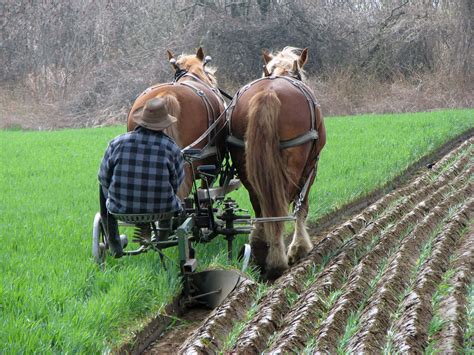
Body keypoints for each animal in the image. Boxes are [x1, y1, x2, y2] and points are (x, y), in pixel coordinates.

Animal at [227, 47, 326, 280]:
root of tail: (268, 93)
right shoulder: (312, 166)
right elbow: (301, 206)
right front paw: (299, 248)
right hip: (294, 161)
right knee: (280, 208)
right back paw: (277, 261)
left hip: (244, 163)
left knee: (260, 205)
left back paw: (259, 251)